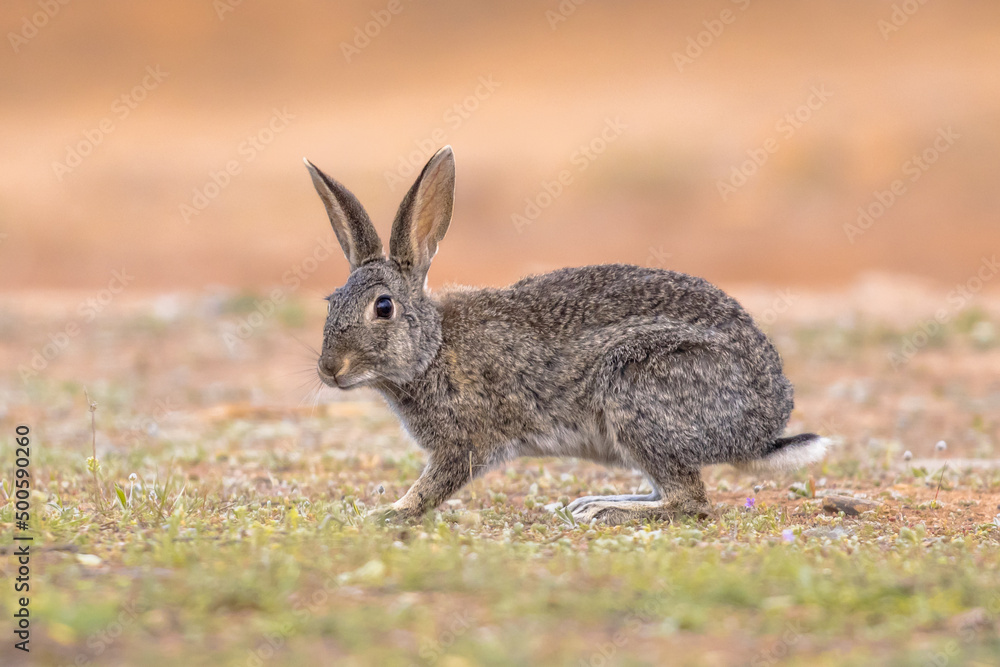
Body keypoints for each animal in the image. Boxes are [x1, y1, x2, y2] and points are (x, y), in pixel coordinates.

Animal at [304, 145, 827, 525]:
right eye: (331, 302)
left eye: (383, 307)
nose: (330, 370)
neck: (433, 350)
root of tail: (762, 428)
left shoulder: (468, 440)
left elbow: (431, 486)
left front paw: (387, 513)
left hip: (639, 392)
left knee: (690, 500)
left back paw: (604, 510)